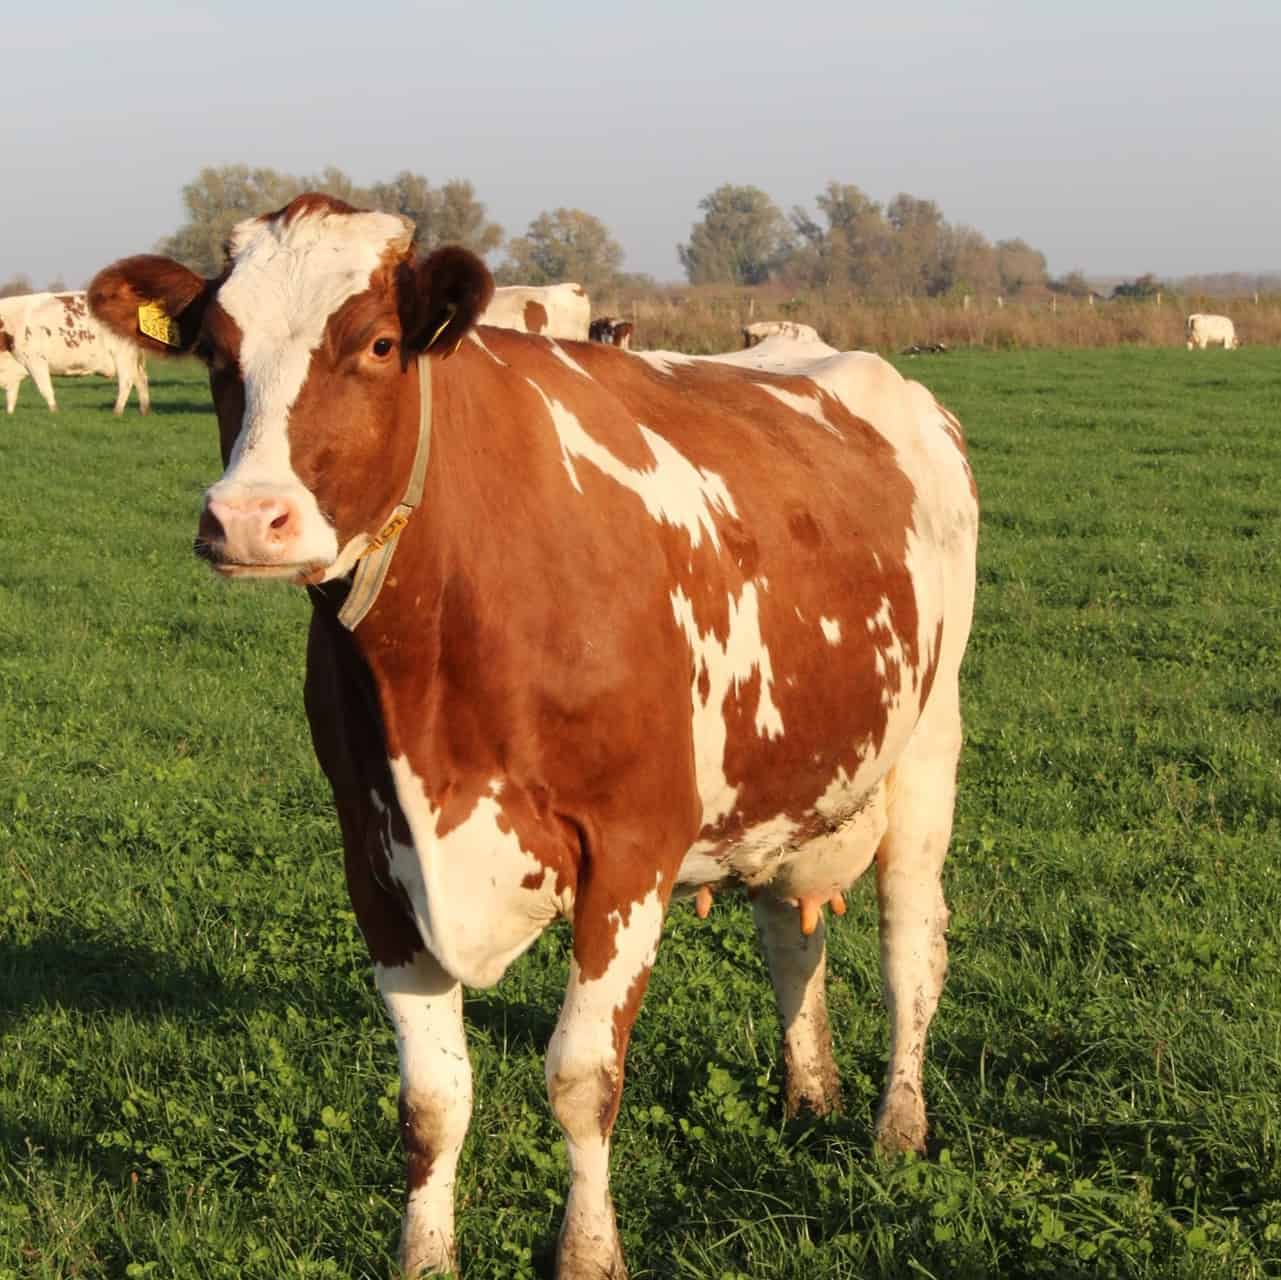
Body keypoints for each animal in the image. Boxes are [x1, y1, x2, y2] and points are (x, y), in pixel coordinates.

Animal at [0, 291, 150, 414]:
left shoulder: (35, 360)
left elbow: (45, 389)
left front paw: (54, 412)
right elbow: (11, 395)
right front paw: (10, 413)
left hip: (122, 355)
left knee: (126, 382)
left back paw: (117, 411)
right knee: (140, 380)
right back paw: (144, 411)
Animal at [89, 193, 979, 1280]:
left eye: (379, 343)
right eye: (218, 350)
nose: (248, 519)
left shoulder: (631, 847)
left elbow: (581, 1078)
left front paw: (588, 1252)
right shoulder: (375, 856)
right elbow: (431, 1098)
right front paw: (423, 1256)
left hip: (928, 745)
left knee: (910, 945)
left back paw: (898, 1122)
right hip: (788, 766)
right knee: (788, 934)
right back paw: (809, 1092)